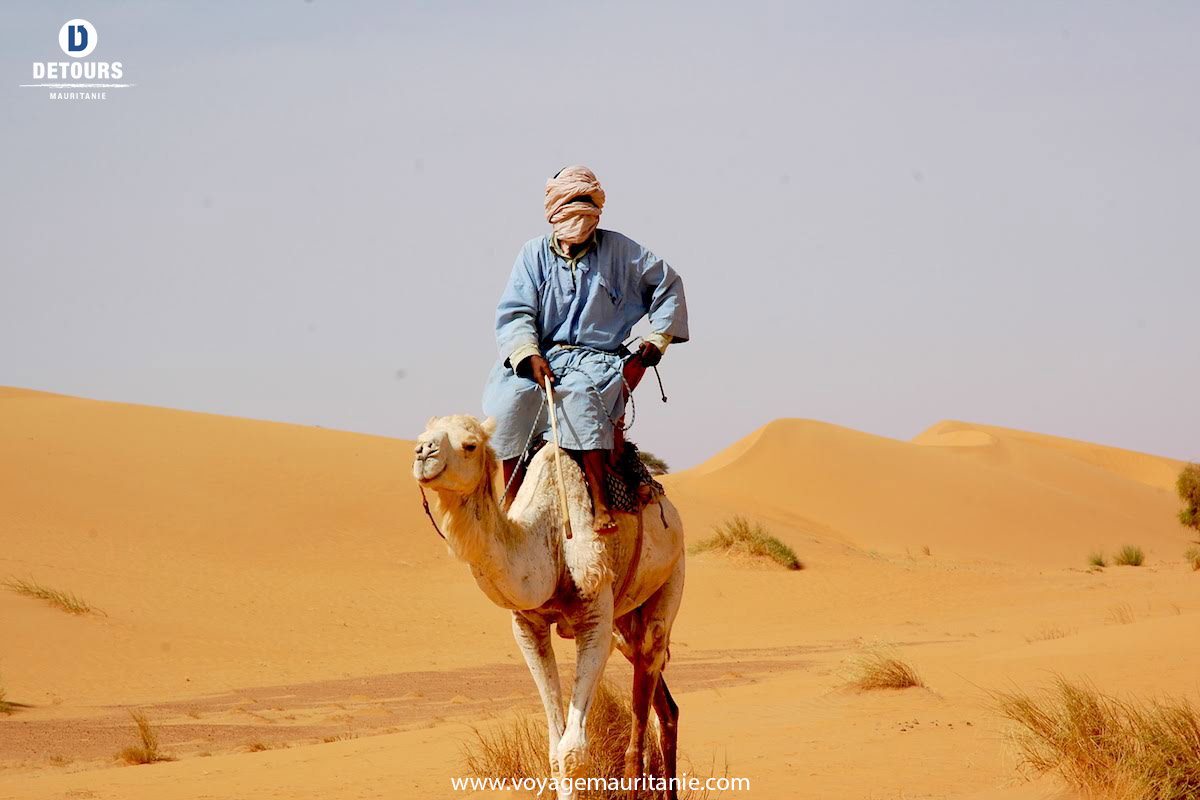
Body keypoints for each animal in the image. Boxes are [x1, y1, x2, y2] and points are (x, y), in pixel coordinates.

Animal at [412, 417, 691, 800]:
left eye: (470, 444)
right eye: (422, 437)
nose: (423, 452)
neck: (551, 537)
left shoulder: (595, 620)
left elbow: (572, 751)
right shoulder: (527, 625)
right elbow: (555, 750)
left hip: (671, 576)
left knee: (644, 698)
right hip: (624, 623)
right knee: (665, 706)